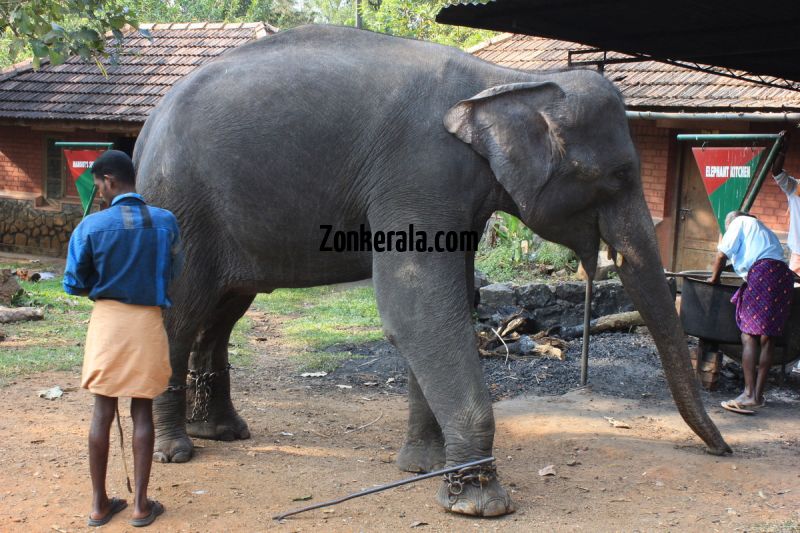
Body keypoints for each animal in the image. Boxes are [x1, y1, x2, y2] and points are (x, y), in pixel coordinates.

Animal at [131, 23, 732, 516]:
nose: (724, 451)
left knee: (223, 309)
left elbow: (450, 303)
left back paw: (222, 432)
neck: (508, 83)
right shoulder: (420, 172)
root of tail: (146, 130)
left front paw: (422, 468)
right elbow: (416, 307)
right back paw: (176, 452)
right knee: (183, 309)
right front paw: (479, 504)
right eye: (615, 176)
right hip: (179, 203)